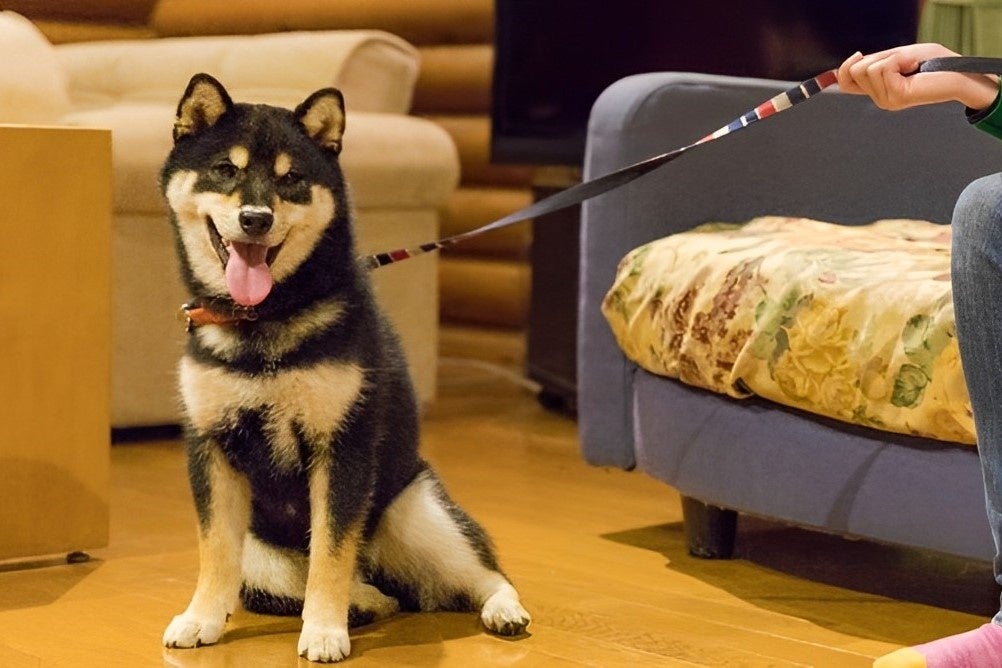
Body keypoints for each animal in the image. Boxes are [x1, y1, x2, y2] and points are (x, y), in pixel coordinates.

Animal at [159, 74, 529, 664]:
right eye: (225, 169)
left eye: (291, 179)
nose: (256, 219)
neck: (267, 316)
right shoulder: (211, 447)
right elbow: (215, 552)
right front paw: (201, 619)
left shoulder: (342, 445)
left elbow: (331, 554)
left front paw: (325, 630)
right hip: (262, 554)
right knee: (346, 587)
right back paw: (366, 602)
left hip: (417, 513)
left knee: (483, 571)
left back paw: (500, 609)